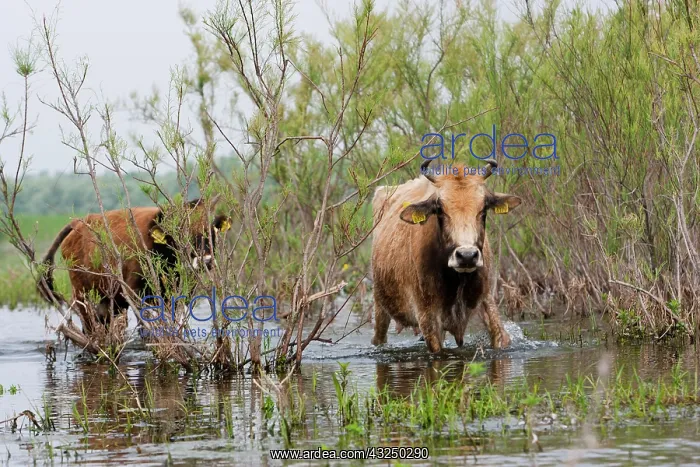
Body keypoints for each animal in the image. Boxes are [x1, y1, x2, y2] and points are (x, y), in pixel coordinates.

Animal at [37, 198, 231, 333]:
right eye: (181, 231)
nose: (206, 260)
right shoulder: (135, 292)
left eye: (212, 229)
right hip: (82, 292)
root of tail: (78, 223)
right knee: (88, 323)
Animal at [371, 159, 520, 353]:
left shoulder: (488, 302)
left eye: (484, 208)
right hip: (380, 307)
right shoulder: (428, 318)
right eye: (440, 209)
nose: (467, 256)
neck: (456, 281)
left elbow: (500, 336)